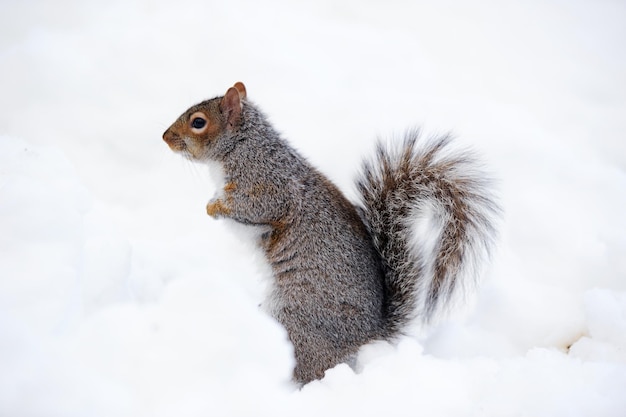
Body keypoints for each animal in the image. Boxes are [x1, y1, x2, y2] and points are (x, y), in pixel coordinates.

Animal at [162, 82, 498, 384]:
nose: (165, 138)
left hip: (296, 320)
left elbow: (258, 208)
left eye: (198, 122)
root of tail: (367, 336)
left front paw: (214, 206)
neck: (243, 145)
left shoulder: (268, 184)